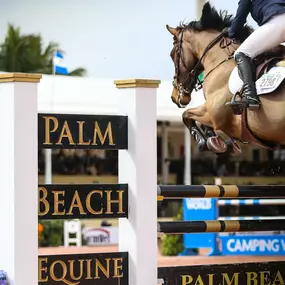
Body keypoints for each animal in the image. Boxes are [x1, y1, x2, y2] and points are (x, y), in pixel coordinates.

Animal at [165, 1, 284, 154]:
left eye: (172, 54)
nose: (174, 97)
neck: (220, 60)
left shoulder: (214, 115)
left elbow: (186, 114)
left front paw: (203, 141)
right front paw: (213, 139)